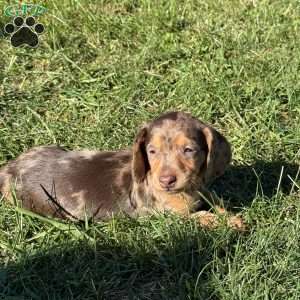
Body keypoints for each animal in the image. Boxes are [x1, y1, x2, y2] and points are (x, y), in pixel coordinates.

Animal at [0, 111, 243, 229]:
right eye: (152, 151)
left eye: (189, 150)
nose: (166, 181)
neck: (188, 190)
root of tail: (8, 168)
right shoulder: (161, 214)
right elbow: (198, 217)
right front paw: (223, 222)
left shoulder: (203, 190)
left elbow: (216, 201)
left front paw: (231, 217)